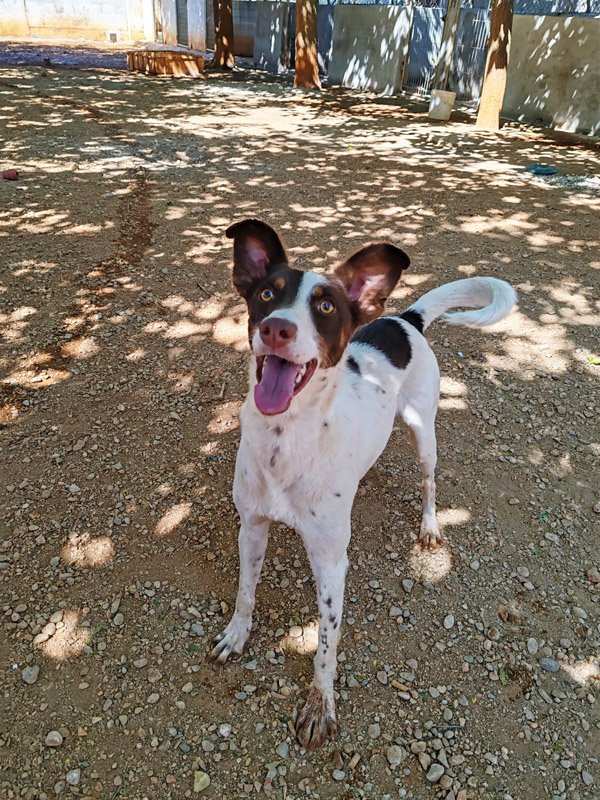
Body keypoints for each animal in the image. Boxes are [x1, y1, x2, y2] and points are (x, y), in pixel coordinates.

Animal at [210, 219, 517, 750]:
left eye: (326, 306)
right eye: (267, 294)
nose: (276, 328)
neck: (286, 440)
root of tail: (404, 319)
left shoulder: (332, 561)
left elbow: (326, 642)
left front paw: (320, 704)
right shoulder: (251, 526)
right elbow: (246, 591)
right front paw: (237, 634)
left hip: (423, 430)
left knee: (429, 481)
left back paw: (430, 526)